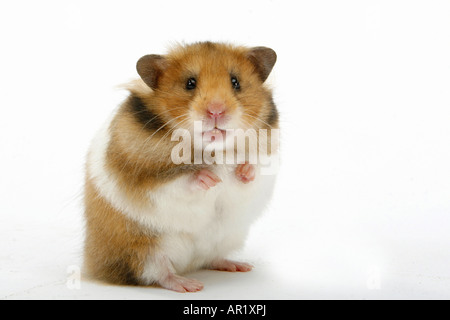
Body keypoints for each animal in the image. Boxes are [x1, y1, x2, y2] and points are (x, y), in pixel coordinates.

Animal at [81, 42, 278, 292]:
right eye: (190, 83)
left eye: (235, 82)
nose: (216, 111)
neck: (214, 148)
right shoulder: (149, 181)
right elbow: (181, 181)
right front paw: (211, 178)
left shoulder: (267, 163)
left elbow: (254, 170)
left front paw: (243, 171)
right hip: (143, 248)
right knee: (158, 272)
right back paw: (189, 285)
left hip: (224, 238)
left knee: (210, 258)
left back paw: (238, 266)